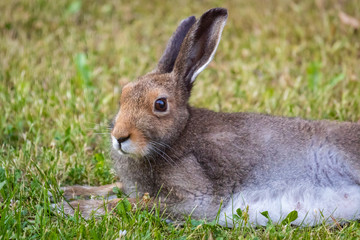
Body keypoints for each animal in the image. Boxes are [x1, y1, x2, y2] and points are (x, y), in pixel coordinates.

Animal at [57, 7, 358, 225]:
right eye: (123, 94)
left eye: (160, 104)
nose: (119, 137)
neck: (177, 137)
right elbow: (114, 187)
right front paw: (68, 192)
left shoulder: (194, 199)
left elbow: (129, 203)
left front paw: (71, 208)